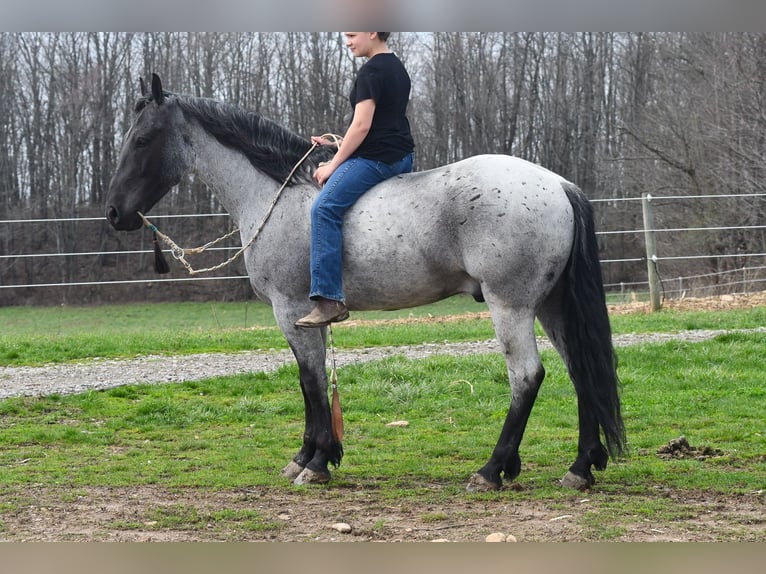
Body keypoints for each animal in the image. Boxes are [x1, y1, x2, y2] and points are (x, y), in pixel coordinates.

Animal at [105, 73, 626, 492]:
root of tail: (559, 185)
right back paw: (580, 468)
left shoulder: (289, 310)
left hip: (510, 306)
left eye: (143, 139)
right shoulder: (307, 317)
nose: (114, 213)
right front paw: (310, 456)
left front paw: (315, 462)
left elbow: (310, 381)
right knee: (581, 372)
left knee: (527, 377)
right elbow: (315, 382)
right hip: (551, 306)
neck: (278, 196)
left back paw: (492, 469)